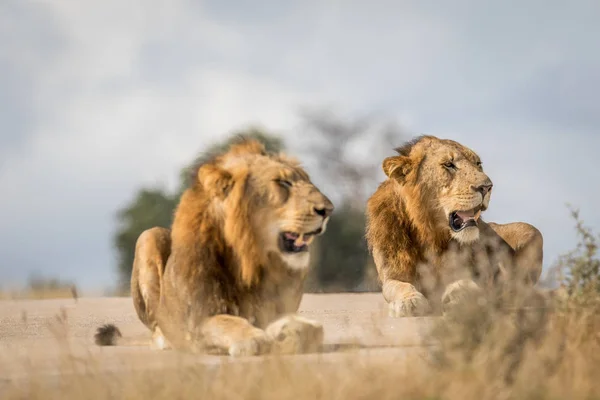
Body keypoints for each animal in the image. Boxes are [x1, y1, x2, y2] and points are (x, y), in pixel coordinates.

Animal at [96, 138, 336, 356]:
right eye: (282, 182)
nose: (328, 210)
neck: (250, 258)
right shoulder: (196, 321)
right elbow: (226, 322)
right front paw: (255, 338)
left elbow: (315, 329)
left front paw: (285, 332)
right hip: (148, 236)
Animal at [366, 136, 544, 318]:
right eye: (449, 164)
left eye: (478, 163)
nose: (487, 187)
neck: (430, 234)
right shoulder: (392, 275)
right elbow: (399, 286)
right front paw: (410, 301)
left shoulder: (475, 273)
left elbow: (466, 284)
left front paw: (459, 298)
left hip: (531, 231)